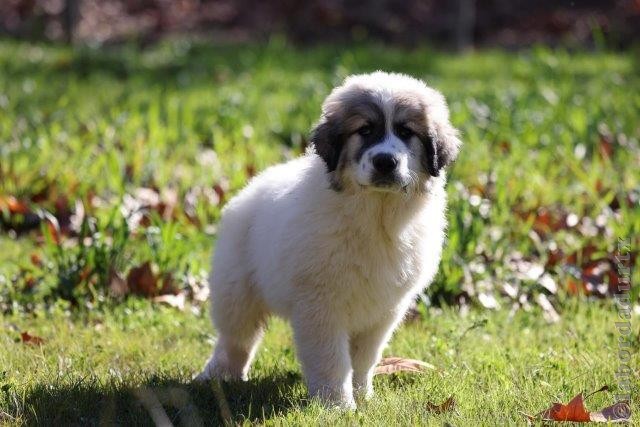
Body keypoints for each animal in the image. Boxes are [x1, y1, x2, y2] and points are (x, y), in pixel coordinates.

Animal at [195, 72, 460, 410]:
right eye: (365, 130)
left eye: (405, 131)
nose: (385, 162)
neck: (376, 214)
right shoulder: (320, 306)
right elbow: (331, 359)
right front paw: (337, 406)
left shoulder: (383, 311)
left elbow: (363, 359)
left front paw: (363, 396)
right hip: (236, 288)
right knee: (236, 337)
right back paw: (218, 375)